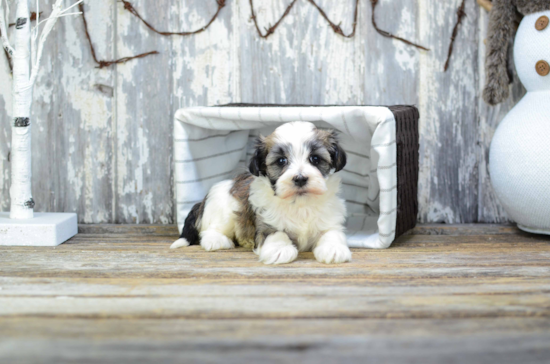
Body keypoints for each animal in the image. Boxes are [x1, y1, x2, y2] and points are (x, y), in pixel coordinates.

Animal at [170, 122, 352, 264]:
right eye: (281, 161)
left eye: (315, 159)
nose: (300, 178)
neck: (299, 203)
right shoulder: (266, 221)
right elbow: (275, 233)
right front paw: (279, 249)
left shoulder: (329, 220)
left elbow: (332, 233)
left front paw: (333, 248)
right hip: (224, 209)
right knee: (211, 230)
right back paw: (217, 240)